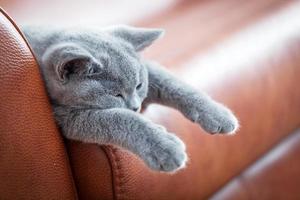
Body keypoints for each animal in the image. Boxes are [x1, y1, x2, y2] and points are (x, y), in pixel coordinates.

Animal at [22, 24, 239, 172]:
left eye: (139, 85)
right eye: (115, 95)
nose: (136, 107)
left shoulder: (149, 71)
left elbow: (173, 84)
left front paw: (217, 114)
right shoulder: (66, 115)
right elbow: (119, 118)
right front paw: (165, 147)